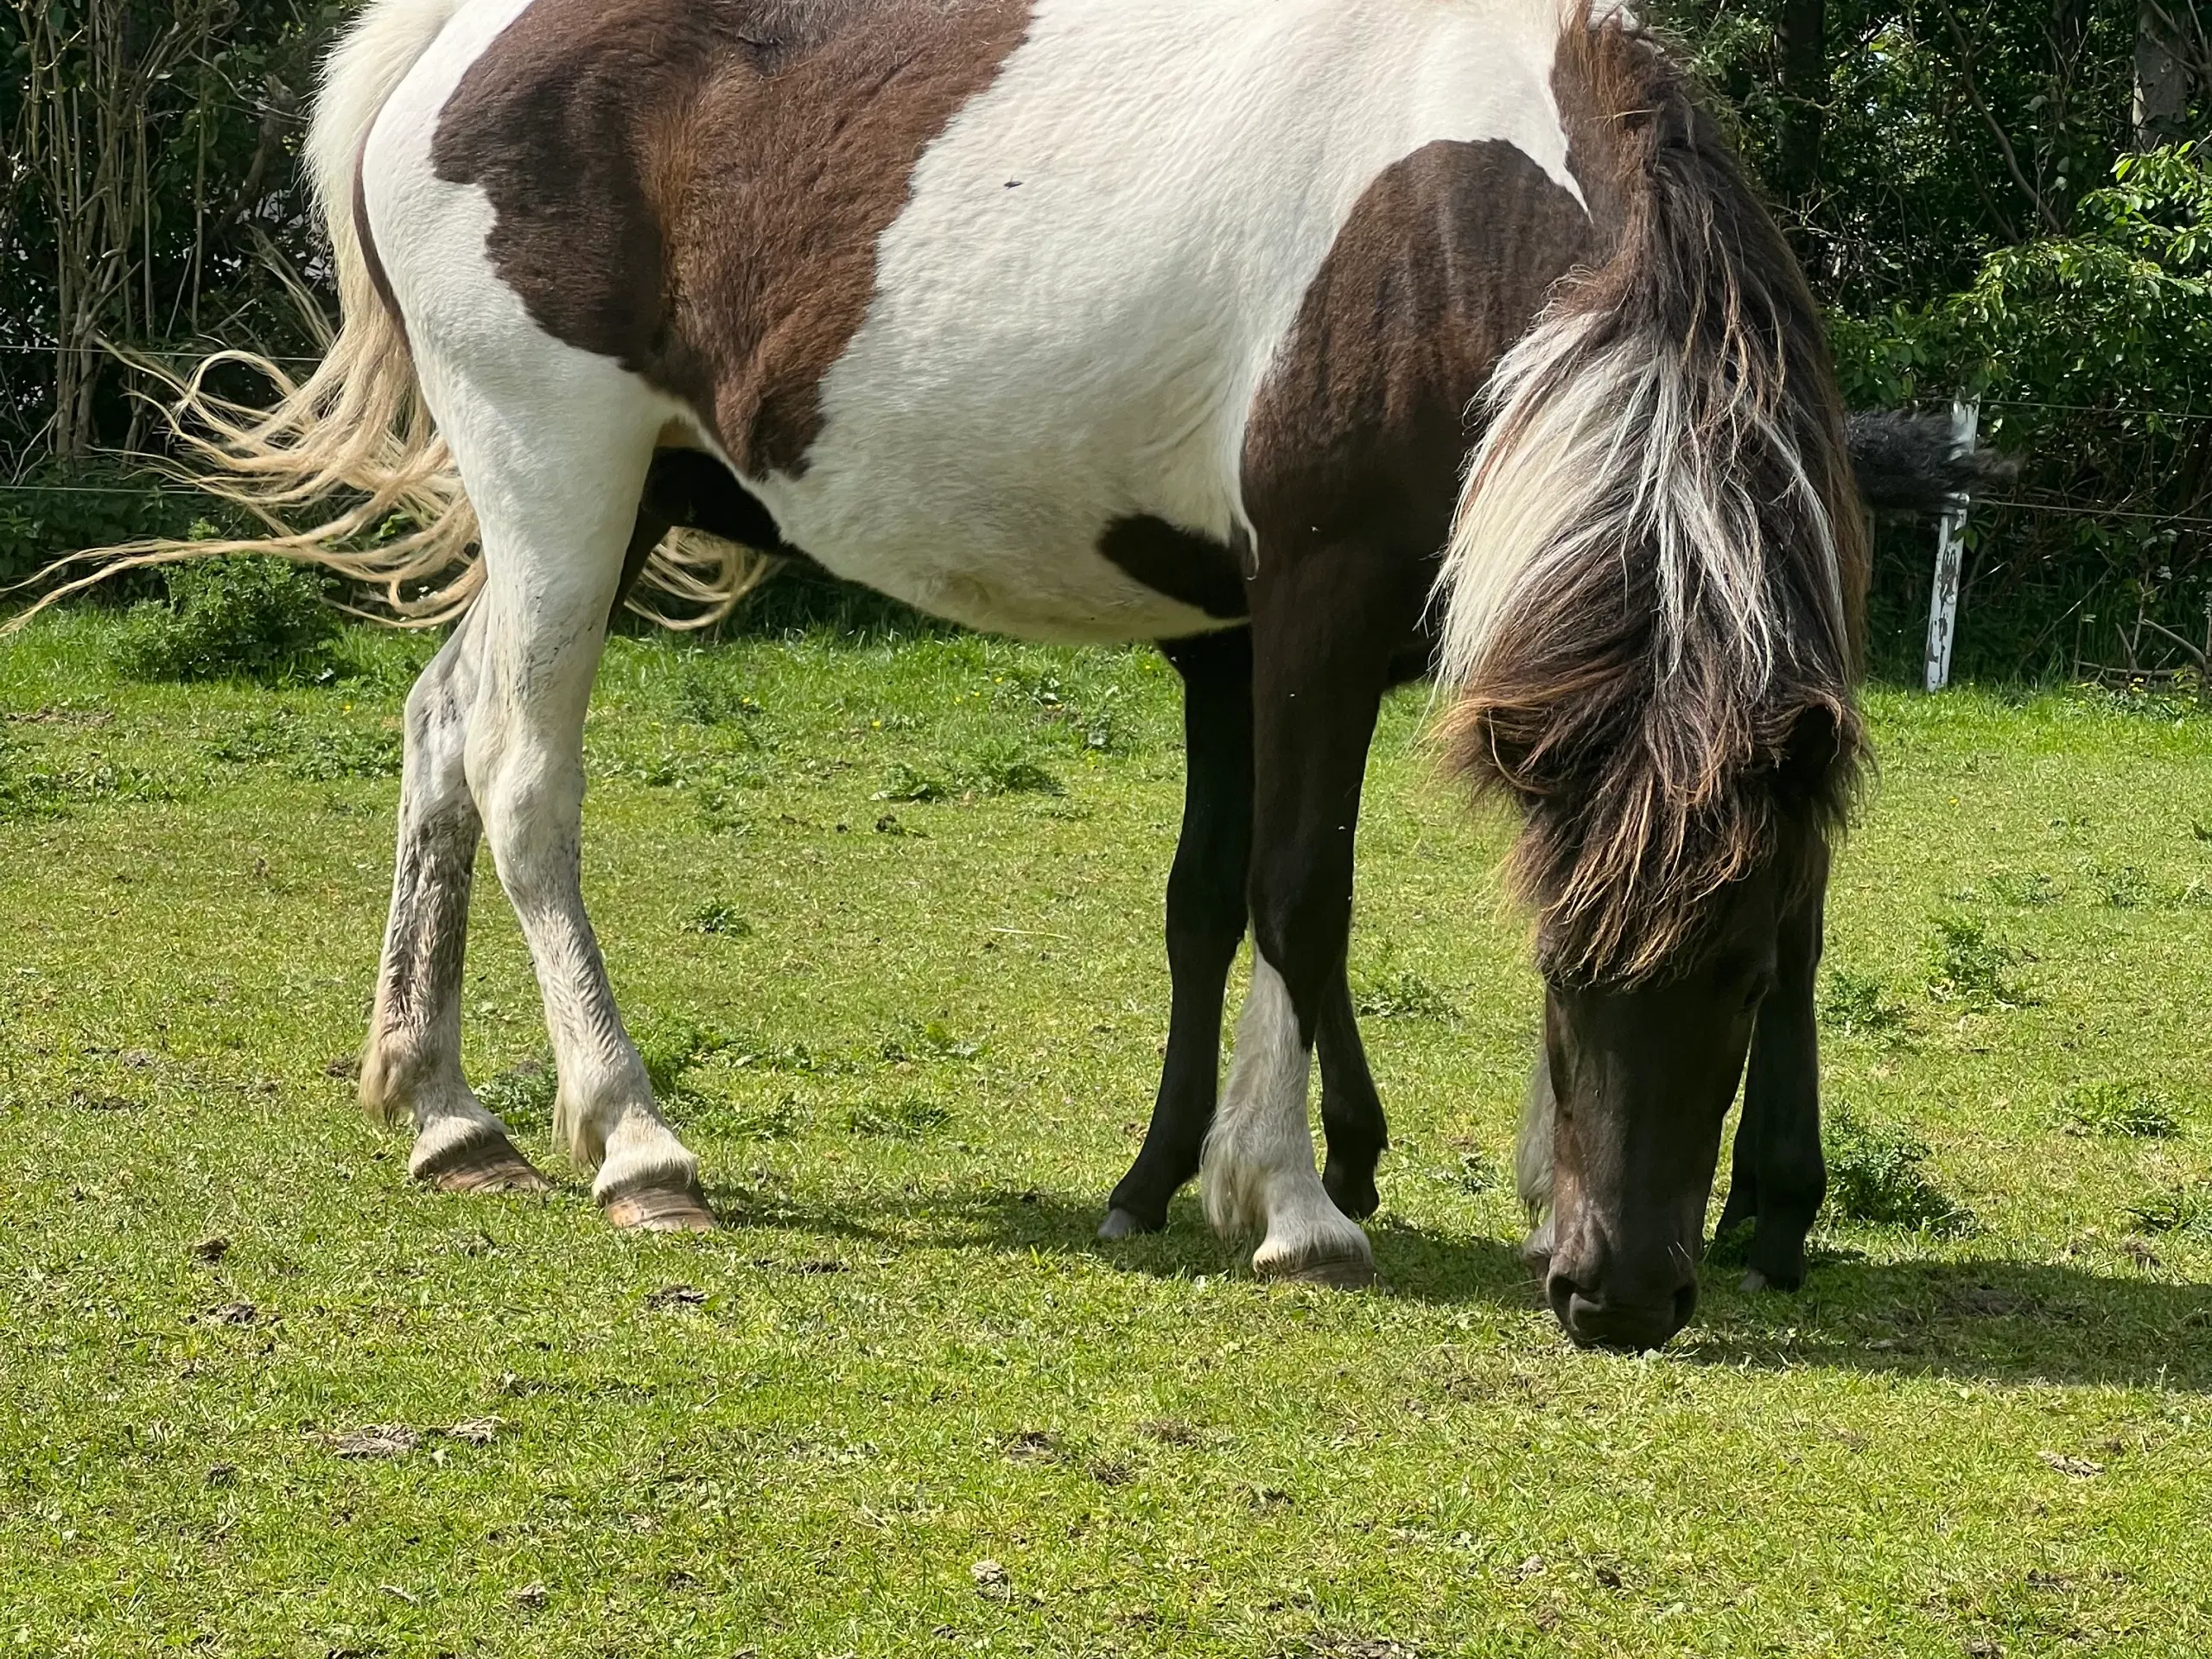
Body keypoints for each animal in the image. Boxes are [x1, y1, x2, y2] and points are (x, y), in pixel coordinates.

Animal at [55, 0, 1885, 1353]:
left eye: (1734, 983)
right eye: (1569, 970)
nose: (1619, 1295)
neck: (1472, 216)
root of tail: (448, 47)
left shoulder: (1250, 633)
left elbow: (1228, 895)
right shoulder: (1320, 600)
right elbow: (1301, 887)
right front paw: (1297, 1204)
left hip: (605, 511)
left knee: (441, 729)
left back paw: (445, 1111)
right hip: (558, 484)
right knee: (521, 779)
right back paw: (631, 1138)